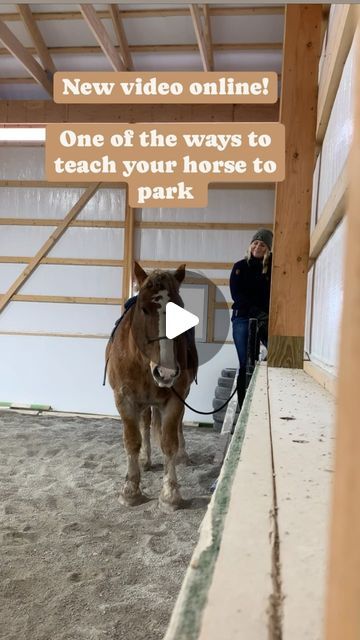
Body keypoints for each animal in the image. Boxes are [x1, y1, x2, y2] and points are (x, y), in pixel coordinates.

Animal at [105, 260, 198, 510]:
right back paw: (145, 460)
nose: (165, 372)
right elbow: (132, 440)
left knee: (177, 426)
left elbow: (169, 442)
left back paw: (183, 455)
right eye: (144, 309)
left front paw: (170, 494)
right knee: (145, 425)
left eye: (181, 308)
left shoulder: (175, 399)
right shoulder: (124, 400)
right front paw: (130, 490)